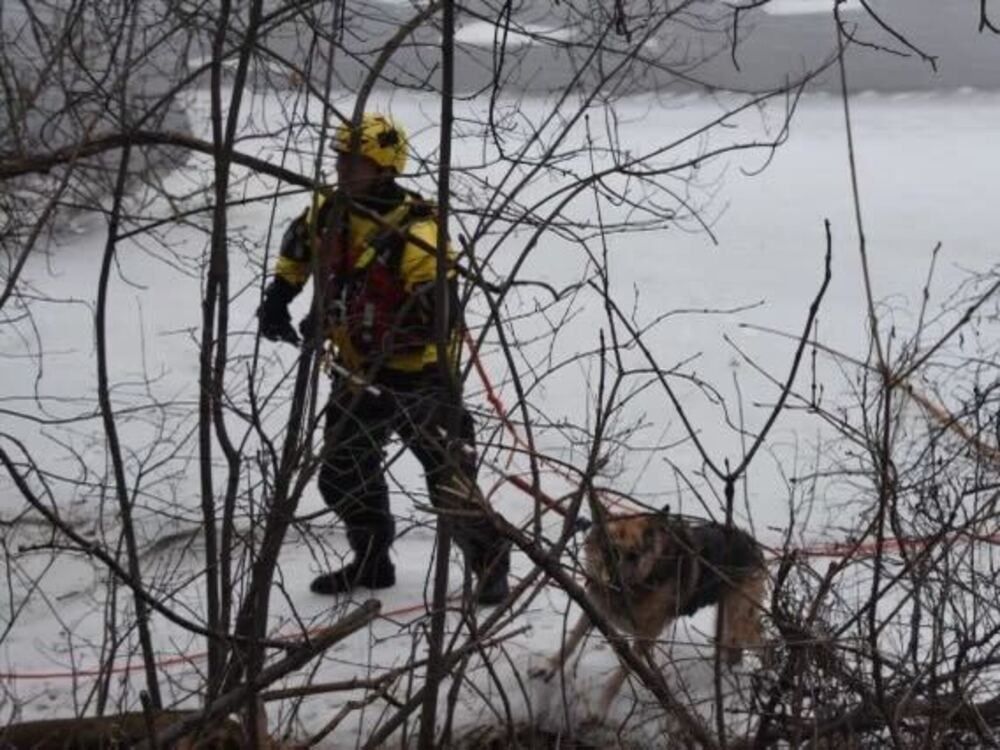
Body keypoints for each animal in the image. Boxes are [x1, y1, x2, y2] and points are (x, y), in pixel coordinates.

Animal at [540, 512, 764, 716]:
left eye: (634, 556)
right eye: (610, 551)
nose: (614, 582)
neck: (645, 580)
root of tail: (753, 543)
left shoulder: (646, 637)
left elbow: (623, 671)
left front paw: (601, 707)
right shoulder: (594, 609)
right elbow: (572, 639)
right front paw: (550, 666)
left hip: (742, 621)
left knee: (763, 646)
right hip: (726, 620)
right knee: (733, 649)